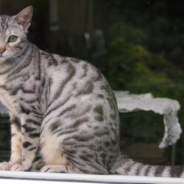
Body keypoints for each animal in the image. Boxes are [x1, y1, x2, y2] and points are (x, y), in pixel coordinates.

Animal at [0, 6, 183, 177]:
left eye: (12, 38)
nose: (1, 50)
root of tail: (117, 152)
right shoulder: (14, 114)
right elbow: (16, 143)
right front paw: (11, 163)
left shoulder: (30, 112)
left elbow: (28, 144)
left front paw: (23, 166)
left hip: (63, 135)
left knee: (97, 170)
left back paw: (52, 167)